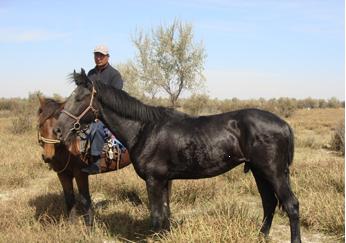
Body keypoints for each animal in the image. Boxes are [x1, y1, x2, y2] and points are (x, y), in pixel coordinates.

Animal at [37, 96, 130, 225]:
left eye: (57, 128)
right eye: (40, 124)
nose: (47, 156)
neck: (71, 146)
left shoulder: (80, 174)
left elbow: (85, 199)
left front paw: (90, 226)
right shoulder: (62, 174)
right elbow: (69, 199)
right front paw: (71, 225)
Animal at [54, 69, 300, 242]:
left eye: (79, 98)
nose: (58, 130)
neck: (144, 129)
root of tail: (284, 124)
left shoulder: (154, 180)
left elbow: (156, 216)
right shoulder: (163, 180)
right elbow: (164, 215)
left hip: (273, 172)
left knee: (291, 205)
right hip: (260, 172)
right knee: (269, 203)